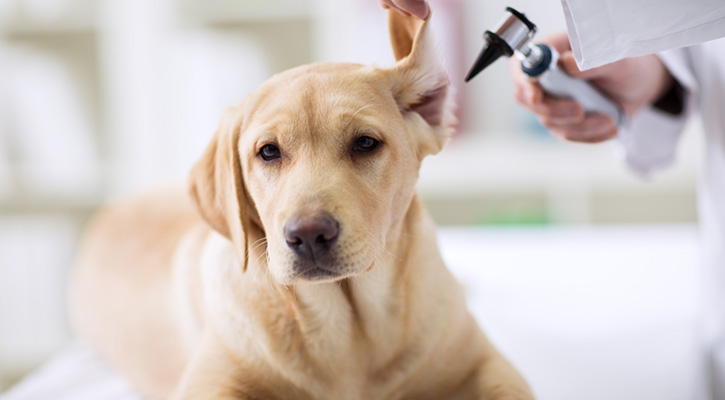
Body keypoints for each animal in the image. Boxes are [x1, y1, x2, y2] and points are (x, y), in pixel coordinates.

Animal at [68, 10, 532, 398]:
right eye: (268, 152)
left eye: (366, 143)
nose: (308, 235)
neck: (351, 332)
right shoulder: (209, 383)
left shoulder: (489, 366)